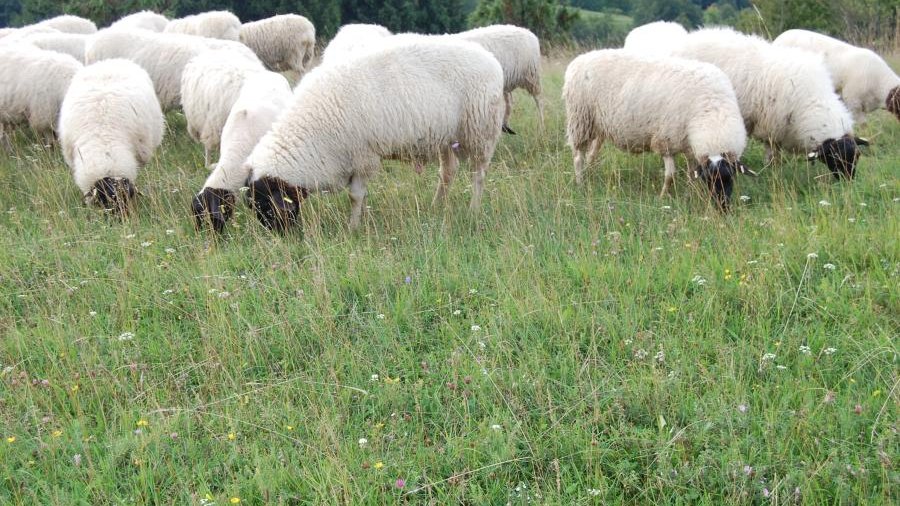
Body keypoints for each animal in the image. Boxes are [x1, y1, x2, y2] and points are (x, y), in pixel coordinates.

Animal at [245, 38, 506, 231]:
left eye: (270, 208)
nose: (280, 238)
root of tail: (490, 59)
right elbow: (361, 196)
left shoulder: (363, 156)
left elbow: (355, 196)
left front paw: (353, 228)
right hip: (446, 137)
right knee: (448, 172)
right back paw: (437, 205)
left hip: (479, 129)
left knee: (478, 174)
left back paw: (473, 210)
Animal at [564, 49, 755, 209]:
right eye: (709, 179)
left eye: (731, 177)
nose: (723, 207)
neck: (713, 111)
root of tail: (579, 59)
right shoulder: (666, 140)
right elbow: (670, 175)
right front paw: (663, 197)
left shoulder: (689, 145)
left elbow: (690, 174)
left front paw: (689, 194)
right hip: (580, 119)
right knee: (578, 157)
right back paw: (580, 182)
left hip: (600, 125)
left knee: (591, 154)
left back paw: (590, 175)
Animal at [666, 28, 866, 180]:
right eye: (836, 157)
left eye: (856, 156)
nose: (848, 182)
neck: (812, 101)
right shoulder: (773, 127)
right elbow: (772, 156)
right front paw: (771, 171)